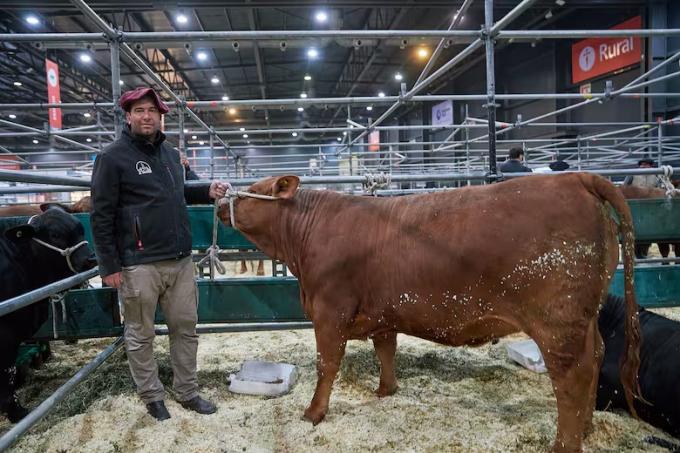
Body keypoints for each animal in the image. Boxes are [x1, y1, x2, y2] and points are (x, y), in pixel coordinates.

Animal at [0, 207, 95, 422]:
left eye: (81, 229)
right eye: (55, 235)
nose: (91, 258)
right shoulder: (6, 336)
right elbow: (7, 374)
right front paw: (17, 412)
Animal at [219, 173, 644, 452]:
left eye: (254, 192)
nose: (219, 195)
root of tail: (577, 177)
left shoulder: (329, 311)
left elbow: (327, 365)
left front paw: (313, 413)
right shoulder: (382, 312)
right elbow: (385, 350)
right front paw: (385, 391)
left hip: (556, 321)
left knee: (571, 377)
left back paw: (564, 443)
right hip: (586, 317)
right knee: (597, 355)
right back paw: (587, 427)